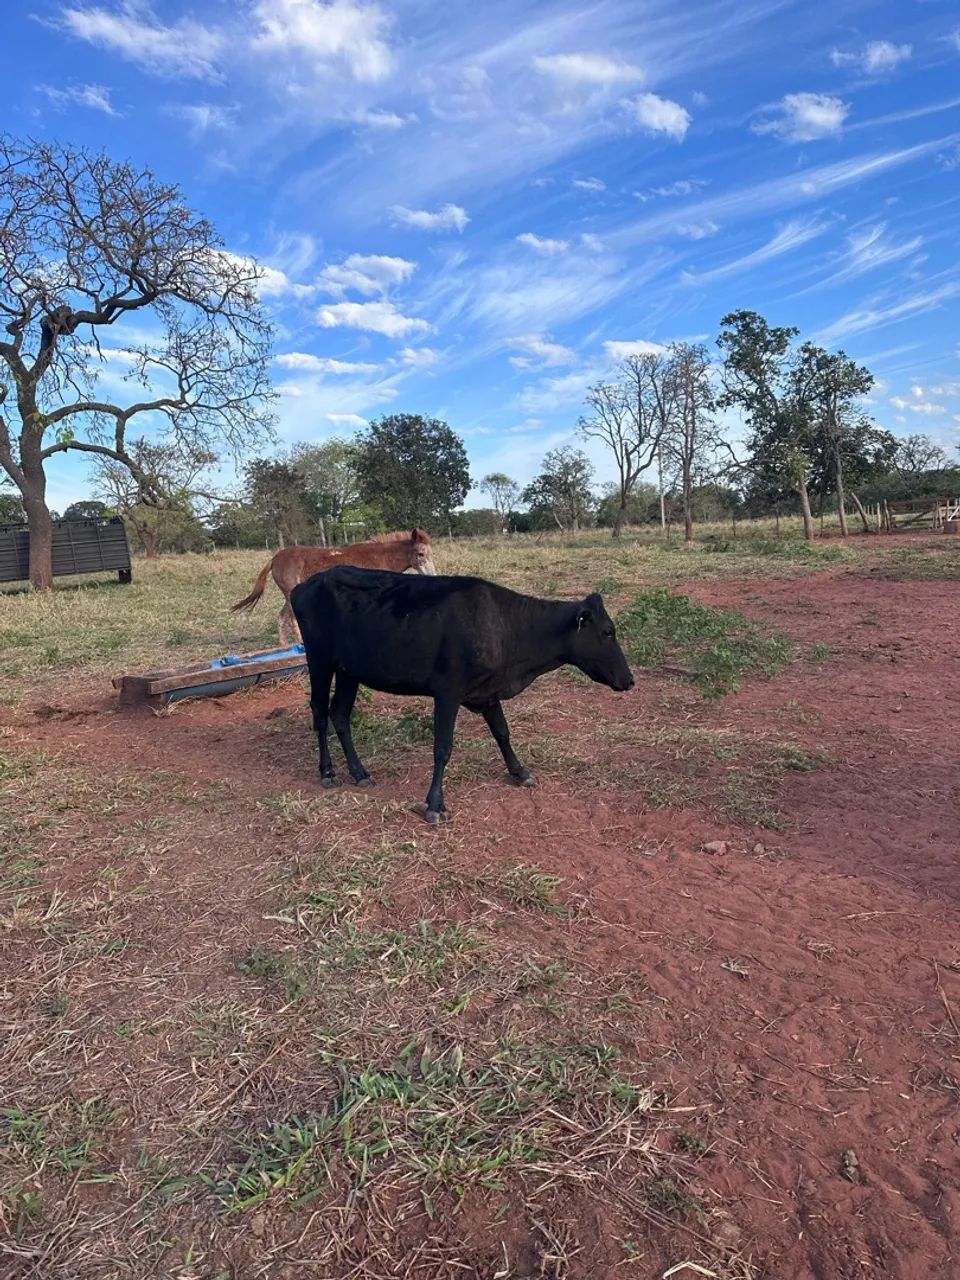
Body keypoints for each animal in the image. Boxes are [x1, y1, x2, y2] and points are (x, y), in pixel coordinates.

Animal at [290, 565, 635, 824]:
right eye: (608, 631)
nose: (630, 679)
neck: (508, 629)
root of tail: (307, 584)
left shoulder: (486, 692)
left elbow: (502, 733)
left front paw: (520, 772)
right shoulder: (447, 692)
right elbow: (443, 747)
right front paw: (435, 803)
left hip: (349, 670)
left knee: (340, 714)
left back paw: (360, 772)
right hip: (319, 659)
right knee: (319, 712)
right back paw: (327, 771)